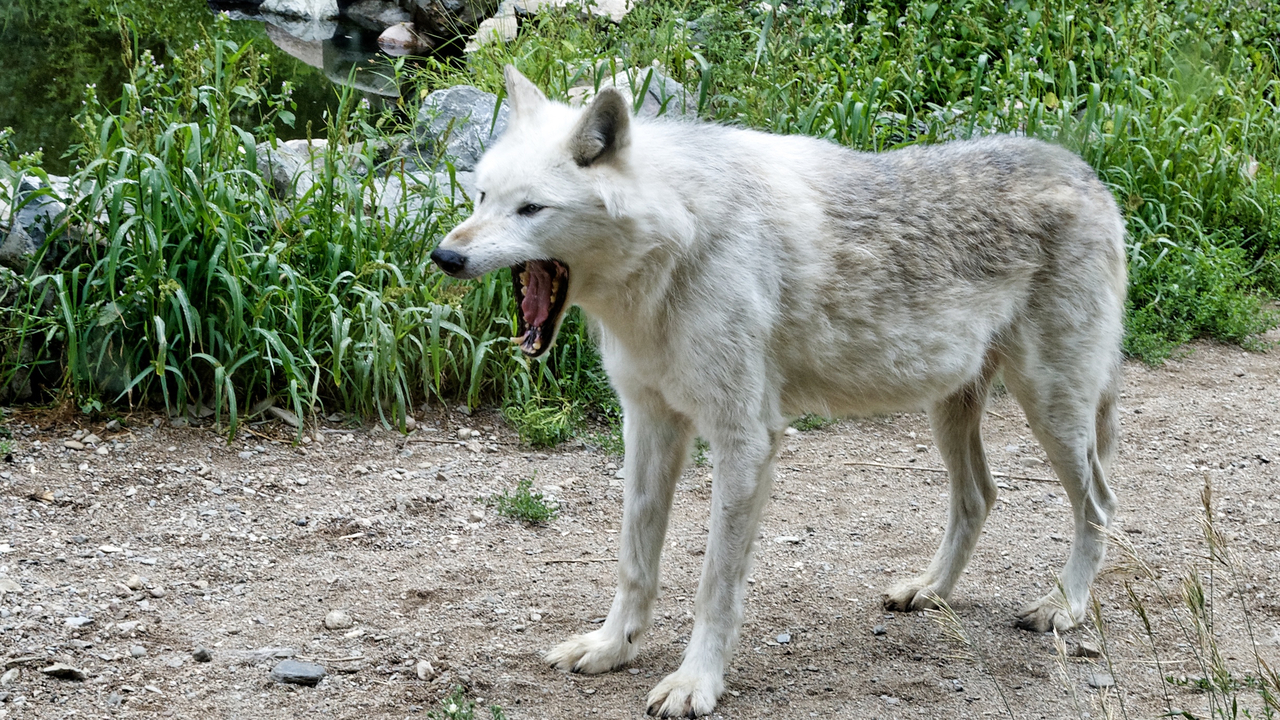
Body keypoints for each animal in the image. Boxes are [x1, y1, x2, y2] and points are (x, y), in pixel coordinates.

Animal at [430, 66, 1127, 717]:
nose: (444, 256)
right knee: (980, 497)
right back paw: (929, 591)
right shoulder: (648, 423)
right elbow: (634, 559)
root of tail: (1090, 175)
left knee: (1099, 503)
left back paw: (1064, 606)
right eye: (483, 196)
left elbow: (715, 583)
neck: (680, 241)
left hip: (1050, 409)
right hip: (950, 411)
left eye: (531, 209)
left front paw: (695, 683)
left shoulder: (745, 439)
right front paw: (611, 648)